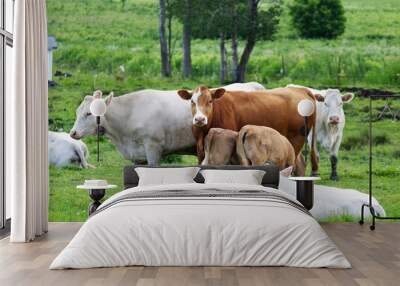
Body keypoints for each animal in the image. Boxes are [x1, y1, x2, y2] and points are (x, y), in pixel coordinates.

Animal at [178, 85, 318, 174]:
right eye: (192, 101)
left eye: (210, 101)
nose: (200, 119)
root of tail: (302, 89)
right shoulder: (200, 150)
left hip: (295, 141)